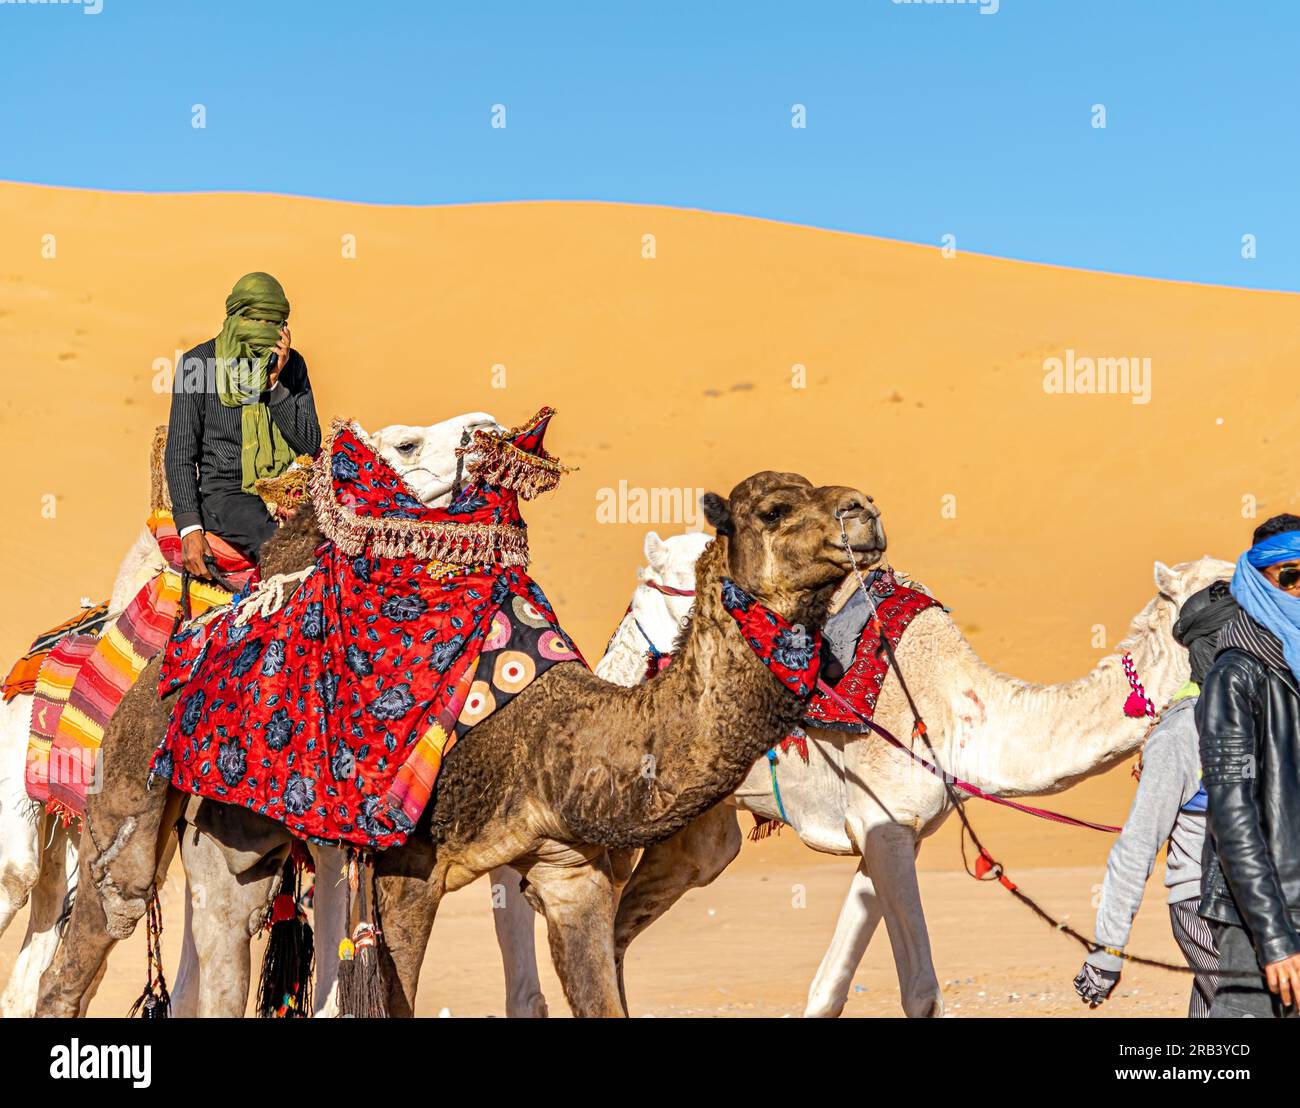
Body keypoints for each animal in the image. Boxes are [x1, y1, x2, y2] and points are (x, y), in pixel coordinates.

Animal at [38, 470, 883, 1019]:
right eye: (774, 508)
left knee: (225, 919)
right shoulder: (406, 870)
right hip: (131, 780)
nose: (865, 510)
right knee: (95, 930)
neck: (552, 739)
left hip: (235, 829)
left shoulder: (572, 872)